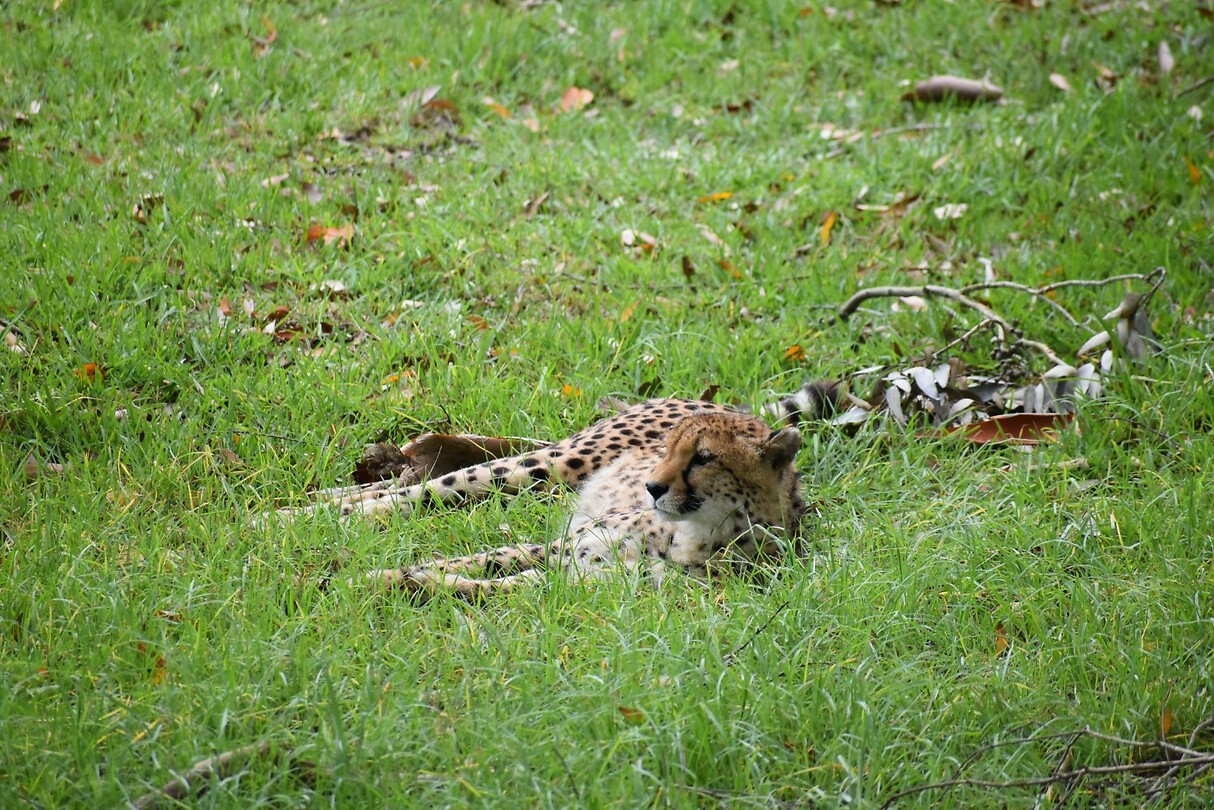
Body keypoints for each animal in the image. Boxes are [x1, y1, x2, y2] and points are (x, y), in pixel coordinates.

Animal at [287, 398, 817, 601]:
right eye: (669, 451)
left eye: (704, 458)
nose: (652, 486)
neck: (696, 534)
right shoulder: (562, 545)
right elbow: (476, 558)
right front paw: (372, 577)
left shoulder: (577, 576)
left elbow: (485, 584)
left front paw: (401, 584)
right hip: (553, 464)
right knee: (420, 490)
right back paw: (291, 518)